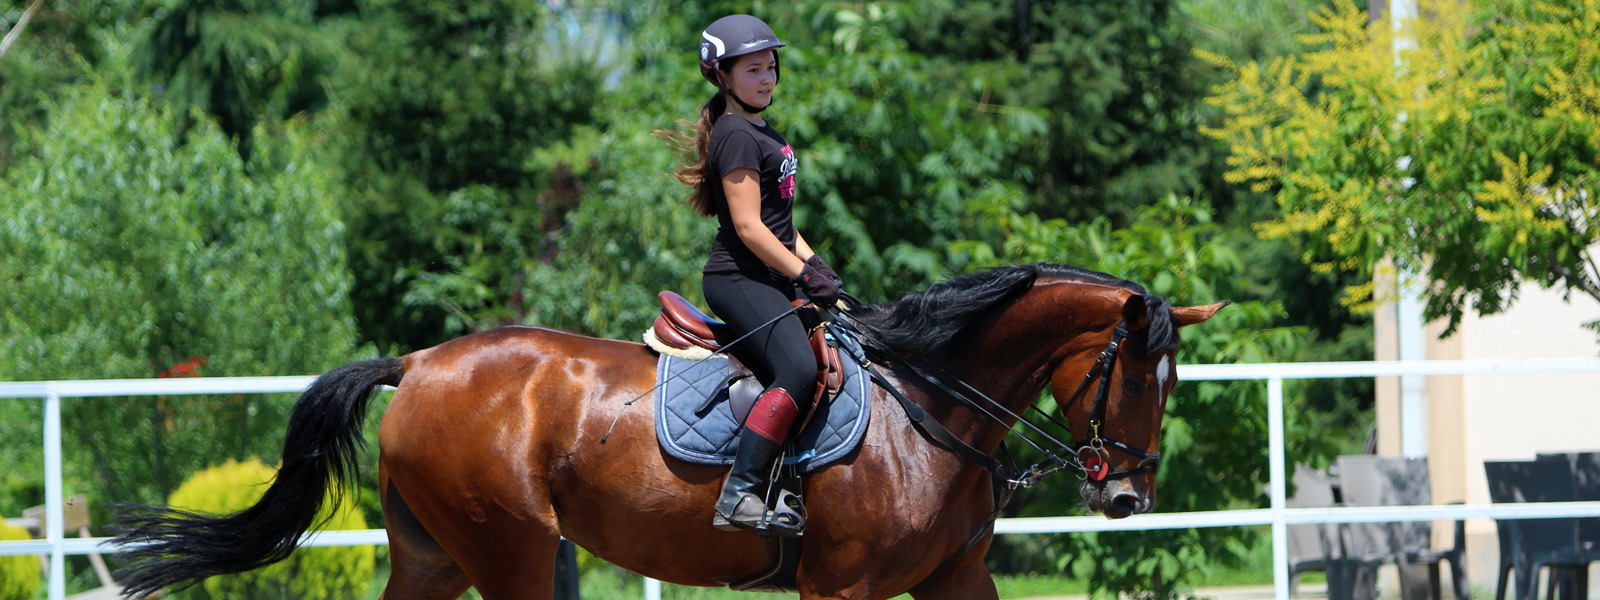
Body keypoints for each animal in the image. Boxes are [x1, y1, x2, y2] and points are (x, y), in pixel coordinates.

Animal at [112, 265, 1222, 600]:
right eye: (1135, 379)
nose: (1127, 494)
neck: (931, 411)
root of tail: (419, 363)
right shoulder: (841, 587)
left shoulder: (955, 579)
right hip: (512, 550)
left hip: (436, 553)